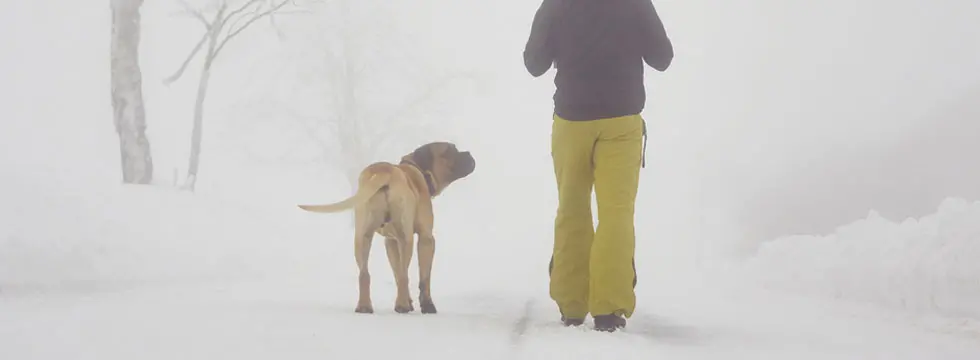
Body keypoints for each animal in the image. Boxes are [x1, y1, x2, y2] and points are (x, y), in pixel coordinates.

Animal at [298, 142, 474, 314]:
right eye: (451, 150)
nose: (469, 153)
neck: (417, 169)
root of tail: (384, 171)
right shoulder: (426, 238)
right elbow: (424, 277)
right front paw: (427, 305)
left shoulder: (390, 241)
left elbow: (396, 271)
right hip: (406, 238)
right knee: (404, 274)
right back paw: (402, 306)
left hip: (362, 236)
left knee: (366, 273)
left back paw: (365, 306)